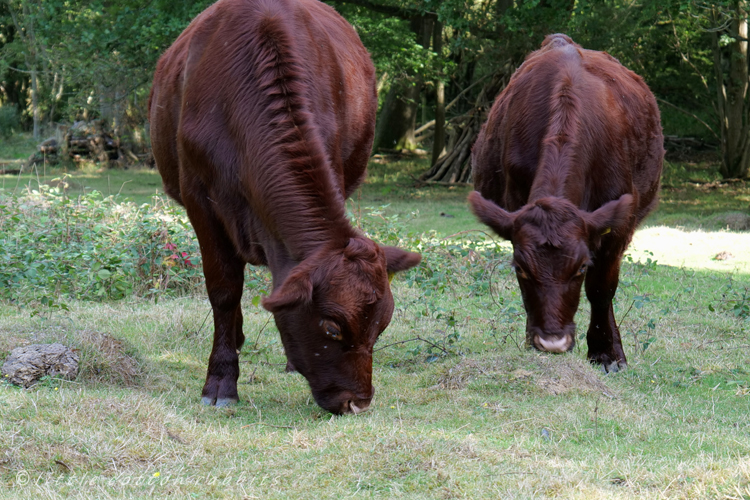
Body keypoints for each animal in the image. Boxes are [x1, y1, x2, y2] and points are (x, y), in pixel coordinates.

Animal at [151, 0, 424, 414]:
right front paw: (221, 380)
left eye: (382, 326)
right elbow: (224, 290)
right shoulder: (199, 200)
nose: (357, 403)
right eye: (331, 327)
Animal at [470, 34, 664, 372]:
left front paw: (607, 352)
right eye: (520, 268)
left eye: (580, 267)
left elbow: (601, 287)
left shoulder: (617, 225)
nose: (552, 341)